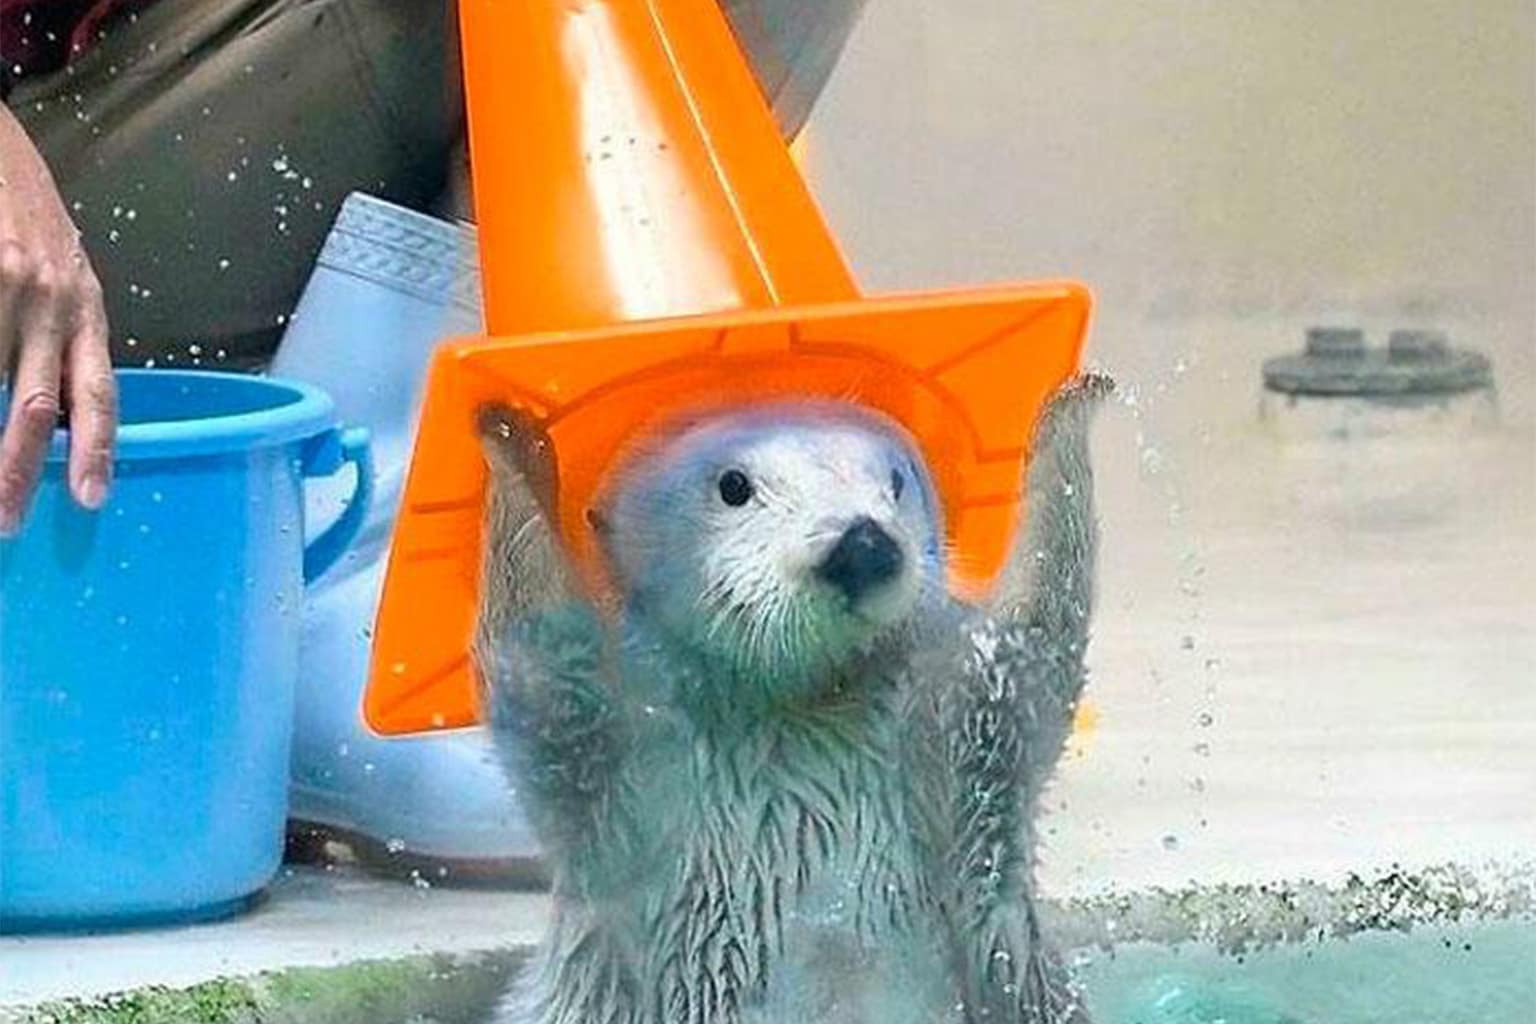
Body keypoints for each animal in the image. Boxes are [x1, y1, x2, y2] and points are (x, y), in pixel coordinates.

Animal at [474, 374, 1110, 1024]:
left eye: (896, 480)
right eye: (734, 486)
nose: (863, 544)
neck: (801, 710)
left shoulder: (946, 751)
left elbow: (1018, 666)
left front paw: (1069, 408)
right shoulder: (635, 772)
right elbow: (552, 677)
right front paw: (513, 442)